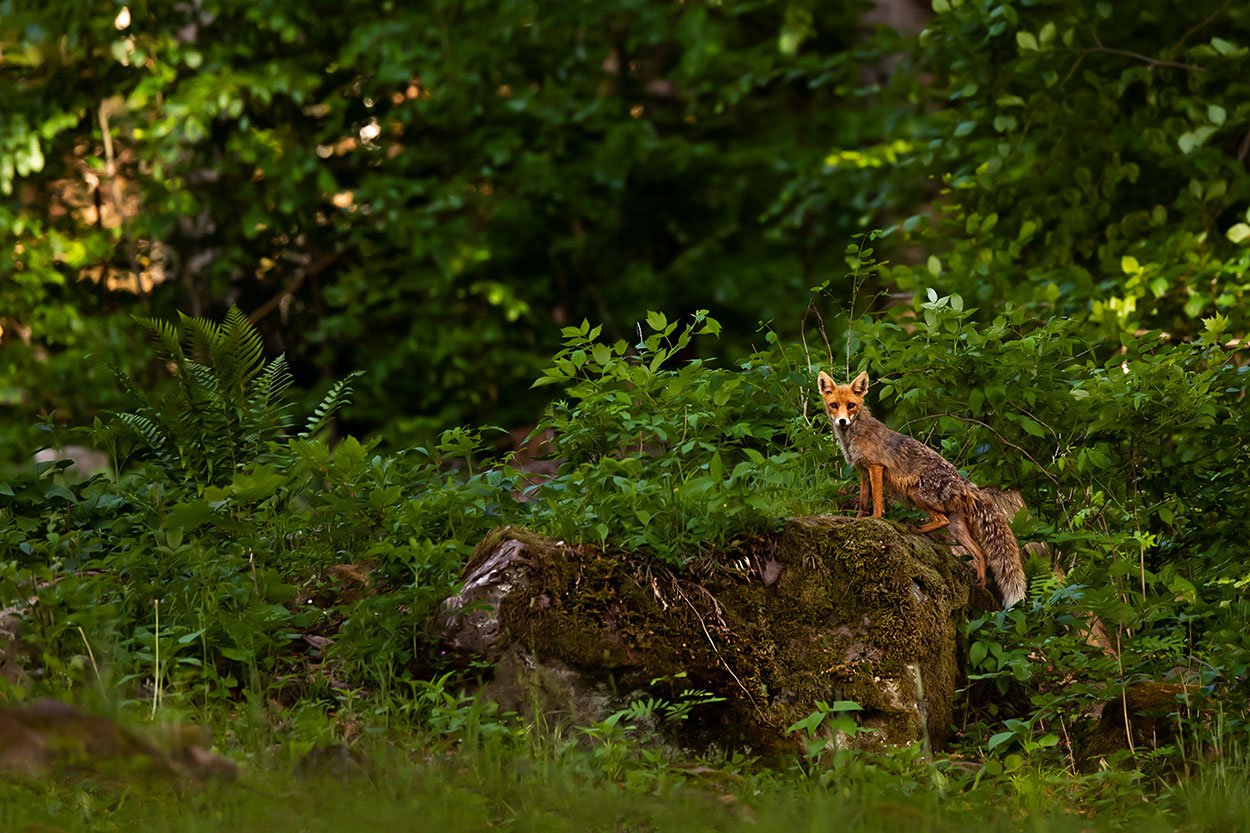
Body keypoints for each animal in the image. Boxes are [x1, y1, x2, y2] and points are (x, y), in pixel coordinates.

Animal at [815, 370, 1030, 602]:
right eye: (834, 405)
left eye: (851, 405)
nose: (842, 421)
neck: (853, 436)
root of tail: (963, 482)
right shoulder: (863, 471)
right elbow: (864, 502)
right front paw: (857, 520)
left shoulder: (876, 468)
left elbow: (878, 502)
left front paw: (876, 520)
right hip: (957, 528)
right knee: (979, 552)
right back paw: (980, 585)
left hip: (916, 494)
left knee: (941, 520)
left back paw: (916, 529)